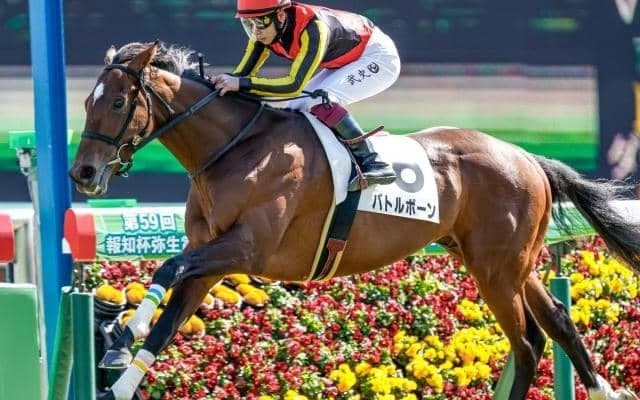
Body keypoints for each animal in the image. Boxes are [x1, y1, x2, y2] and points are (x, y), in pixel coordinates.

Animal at [68, 41, 640, 400]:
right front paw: (120, 368)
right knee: (558, 325)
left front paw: (120, 333)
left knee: (527, 344)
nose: (83, 173)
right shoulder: (212, 262)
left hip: (496, 271)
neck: (235, 150)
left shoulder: (247, 249)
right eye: (88, 101)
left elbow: (167, 268)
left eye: (116, 101)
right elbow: (168, 321)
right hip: (505, 263)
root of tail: (527, 158)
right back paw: (604, 390)